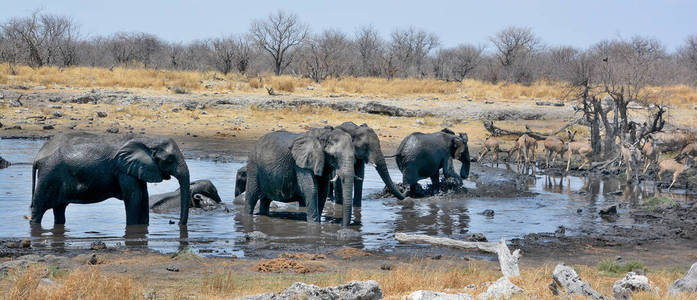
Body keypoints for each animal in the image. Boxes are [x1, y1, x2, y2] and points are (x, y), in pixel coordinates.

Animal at [30, 132, 190, 226]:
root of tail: (37, 158)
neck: (147, 141)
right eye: (170, 159)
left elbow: (144, 197)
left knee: (59, 209)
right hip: (48, 176)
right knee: (38, 209)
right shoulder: (123, 171)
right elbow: (134, 198)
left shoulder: (135, 169)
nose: (176, 223)